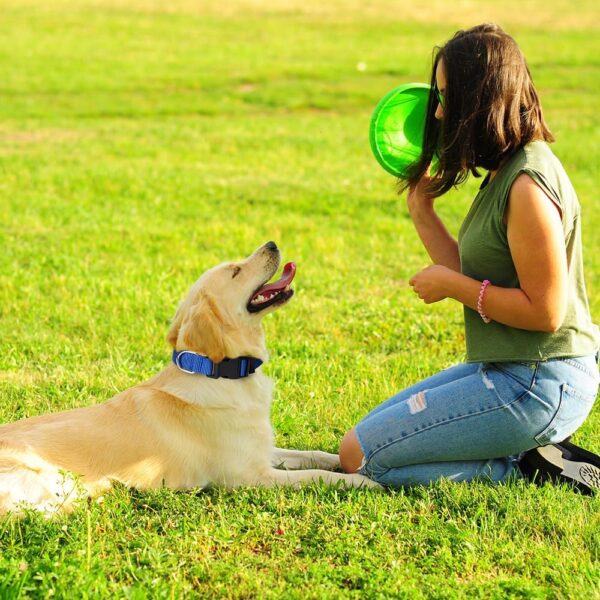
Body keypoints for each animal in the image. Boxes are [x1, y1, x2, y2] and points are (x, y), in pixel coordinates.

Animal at [0, 241, 378, 512]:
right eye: (236, 271)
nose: (271, 243)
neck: (219, 373)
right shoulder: (249, 476)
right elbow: (317, 475)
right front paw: (367, 484)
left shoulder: (261, 451)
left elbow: (314, 456)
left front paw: (350, 463)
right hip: (52, 482)